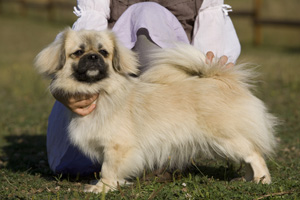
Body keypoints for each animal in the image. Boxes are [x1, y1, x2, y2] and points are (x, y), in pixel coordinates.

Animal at [35, 28, 276, 194]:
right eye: (78, 53)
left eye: (104, 52)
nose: (93, 57)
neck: (102, 92)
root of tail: (222, 80)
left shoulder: (118, 147)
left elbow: (108, 168)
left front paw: (102, 187)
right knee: (250, 157)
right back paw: (248, 180)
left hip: (227, 139)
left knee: (254, 154)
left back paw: (263, 180)